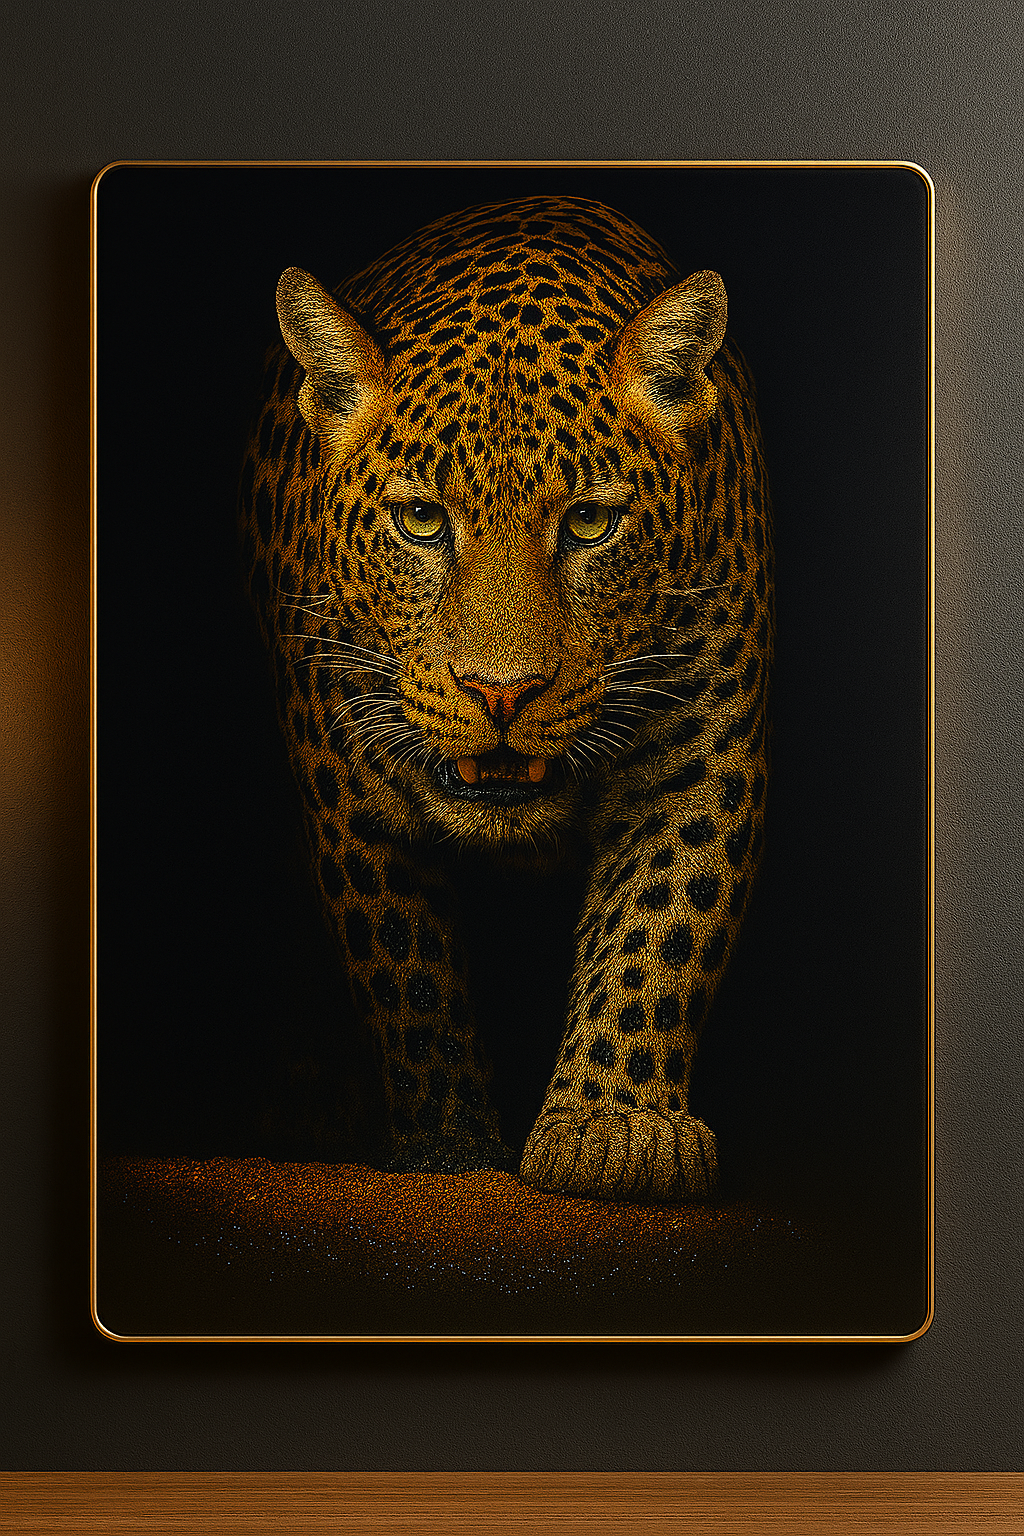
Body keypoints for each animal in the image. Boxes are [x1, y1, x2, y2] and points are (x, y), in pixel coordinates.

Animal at [239, 195, 773, 1202]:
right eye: (421, 519)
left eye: (590, 522)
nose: (502, 691)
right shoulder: (345, 771)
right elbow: (408, 969)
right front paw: (449, 1149)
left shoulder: (701, 740)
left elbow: (664, 920)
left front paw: (613, 1130)